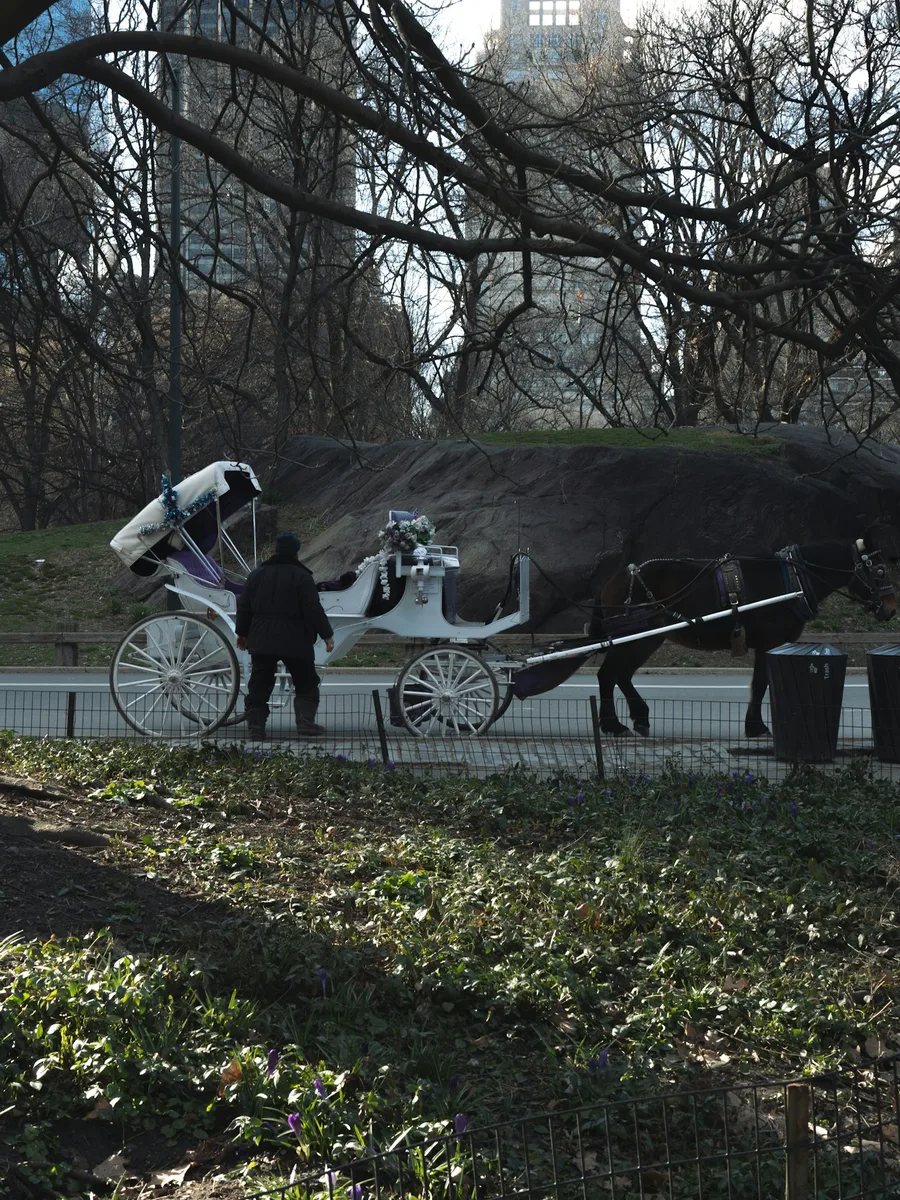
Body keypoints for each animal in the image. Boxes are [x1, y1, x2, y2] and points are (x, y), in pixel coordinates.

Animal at [589, 531, 899, 738]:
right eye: (880, 571)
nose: (891, 608)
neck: (793, 579)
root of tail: (613, 579)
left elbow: (759, 684)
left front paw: (754, 725)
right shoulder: (769, 641)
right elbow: (760, 683)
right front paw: (757, 726)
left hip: (648, 637)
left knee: (621, 675)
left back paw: (638, 717)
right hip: (639, 635)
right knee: (608, 674)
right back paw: (612, 724)